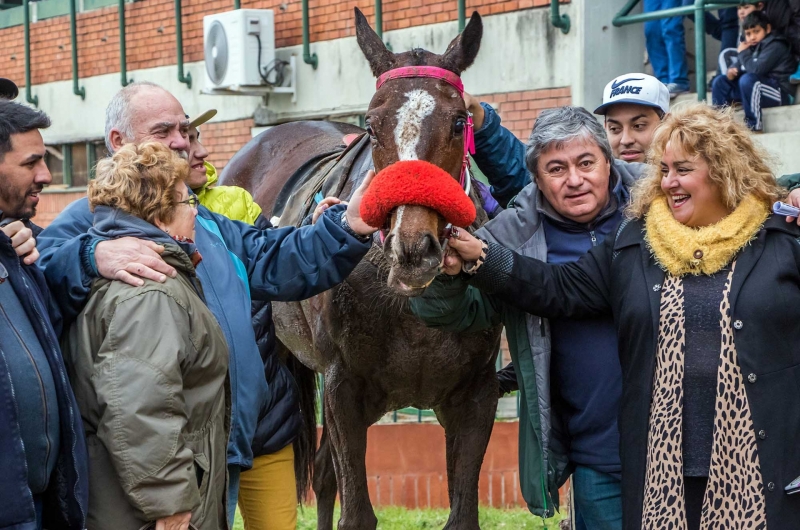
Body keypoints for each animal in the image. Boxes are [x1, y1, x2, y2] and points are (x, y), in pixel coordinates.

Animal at [220, 9, 500, 528]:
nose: (413, 248)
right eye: (371, 125)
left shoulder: (476, 393)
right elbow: (355, 511)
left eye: (458, 122)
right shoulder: (342, 389)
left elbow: (462, 512)